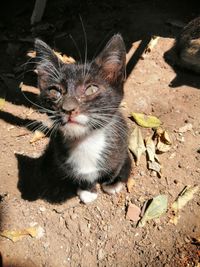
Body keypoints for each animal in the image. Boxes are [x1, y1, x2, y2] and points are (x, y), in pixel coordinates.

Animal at [34, 34, 131, 204]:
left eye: (91, 89)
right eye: (55, 91)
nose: (68, 109)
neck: (85, 141)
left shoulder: (119, 146)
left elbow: (115, 166)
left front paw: (111, 182)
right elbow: (82, 176)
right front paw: (87, 190)